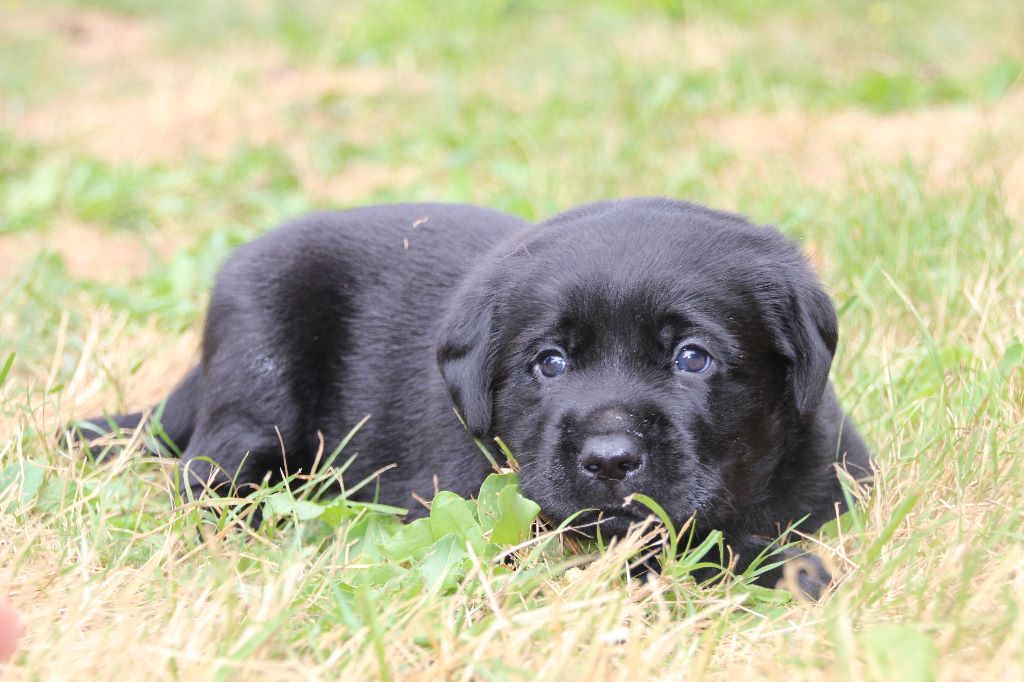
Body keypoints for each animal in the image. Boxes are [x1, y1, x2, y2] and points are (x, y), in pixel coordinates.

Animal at [74, 195, 872, 593]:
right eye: (549, 363)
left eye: (692, 358)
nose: (610, 460)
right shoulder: (493, 516)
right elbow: (665, 548)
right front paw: (790, 571)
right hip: (256, 369)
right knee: (208, 480)